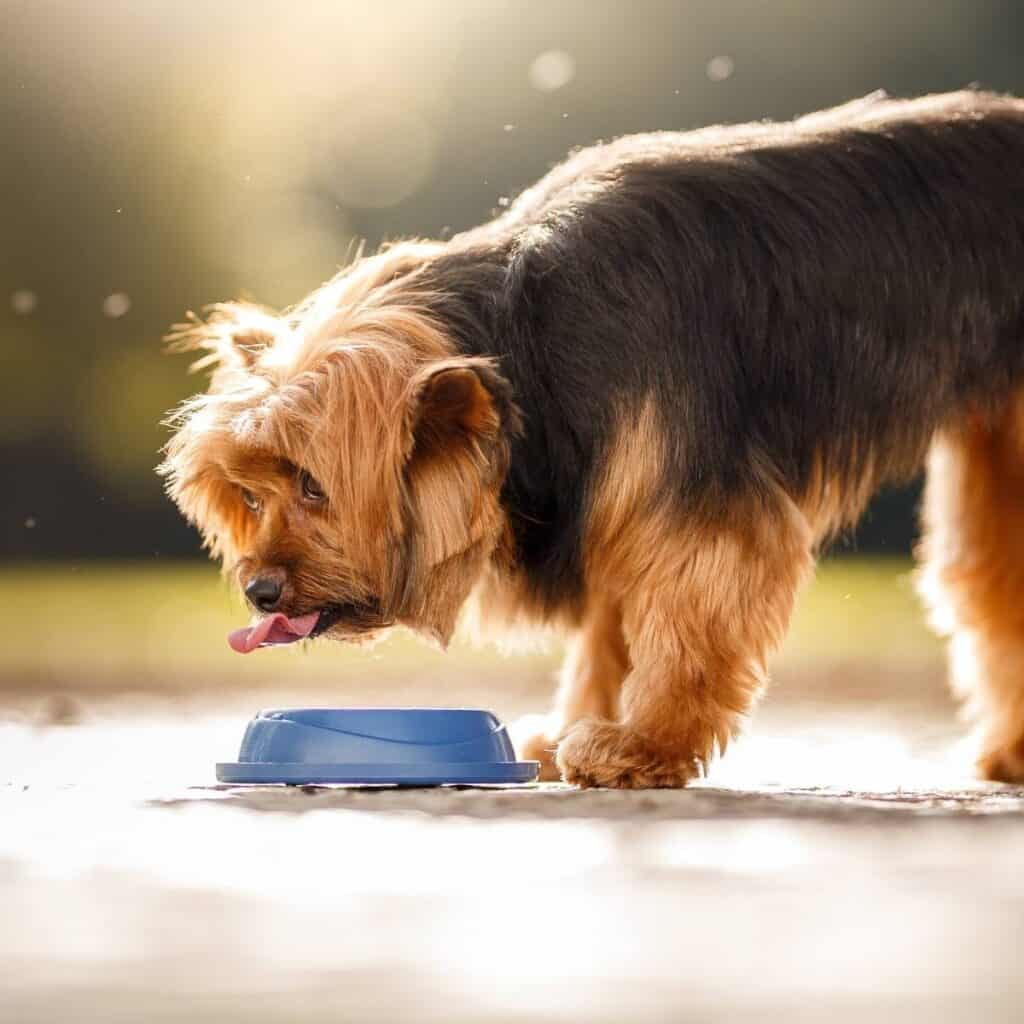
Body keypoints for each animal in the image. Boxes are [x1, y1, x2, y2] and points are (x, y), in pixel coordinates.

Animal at [161, 92, 1024, 786]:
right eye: (250, 495)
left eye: (315, 484)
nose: (258, 590)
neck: (523, 332)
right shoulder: (614, 478)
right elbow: (609, 632)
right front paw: (577, 729)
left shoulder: (693, 499)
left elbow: (690, 615)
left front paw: (645, 746)